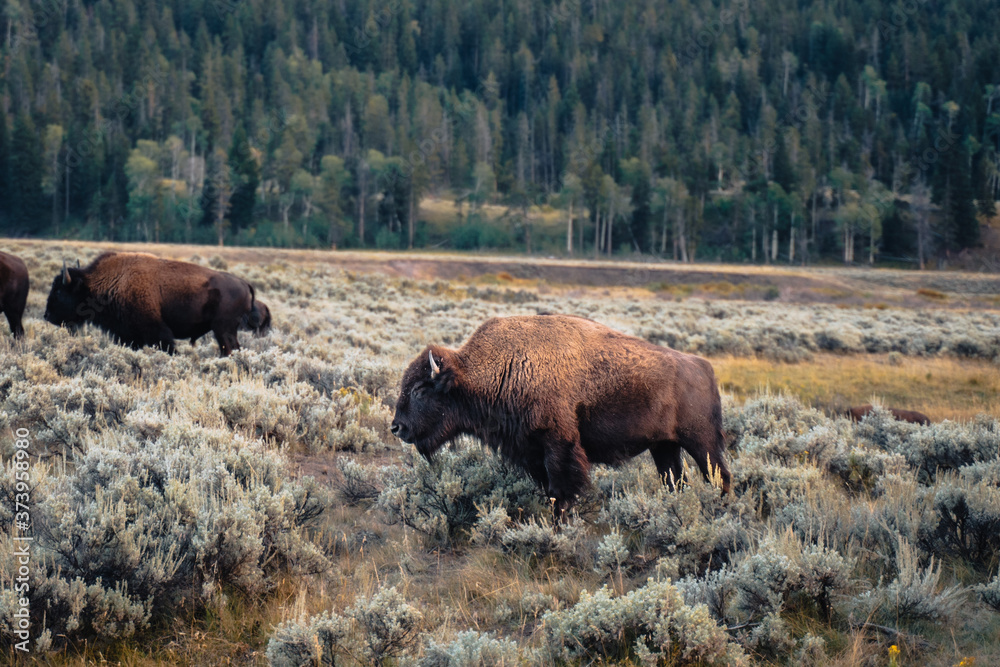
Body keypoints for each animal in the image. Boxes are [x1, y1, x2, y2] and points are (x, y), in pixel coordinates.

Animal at [44, 250, 262, 358]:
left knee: (230, 349)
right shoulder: (128, 335)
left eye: (59, 290)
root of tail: (244, 283)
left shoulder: (156, 332)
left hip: (223, 329)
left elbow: (167, 347)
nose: (47, 315)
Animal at [392, 316, 736, 524]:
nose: (397, 427)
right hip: (664, 446)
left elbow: (561, 491)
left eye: (420, 390)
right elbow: (550, 490)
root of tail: (704, 367)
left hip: (701, 442)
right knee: (676, 480)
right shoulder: (532, 452)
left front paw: (559, 526)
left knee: (720, 475)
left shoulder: (558, 445)